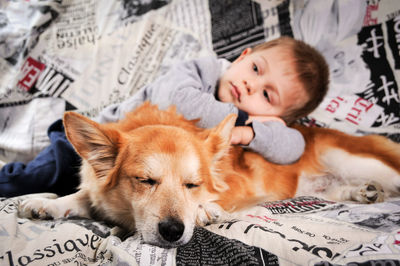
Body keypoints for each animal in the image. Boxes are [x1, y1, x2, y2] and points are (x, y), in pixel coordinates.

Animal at [18, 101, 400, 247]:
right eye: (145, 181)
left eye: (193, 184)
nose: (173, 232)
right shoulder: (98, 192)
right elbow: (82, 196)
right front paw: (48, 204)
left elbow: (214, 202)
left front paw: (205, 210)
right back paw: (363, 192)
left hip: (356, 159)